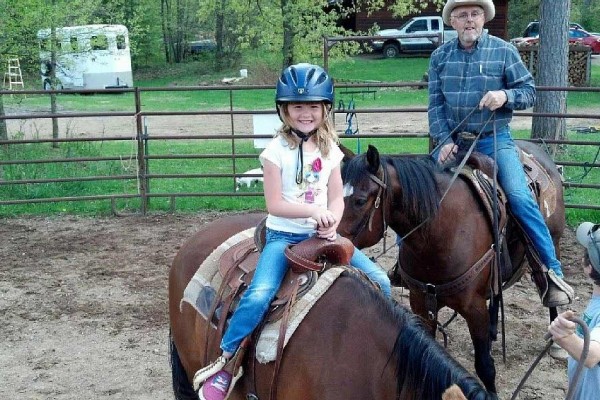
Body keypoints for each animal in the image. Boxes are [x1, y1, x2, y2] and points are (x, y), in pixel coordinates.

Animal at [340, 141, 564, 394]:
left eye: (360, 200)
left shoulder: (474, 308)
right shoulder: (421, 303)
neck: (441, 233)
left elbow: (485, 366)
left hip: (554, 240)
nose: (331, 242)